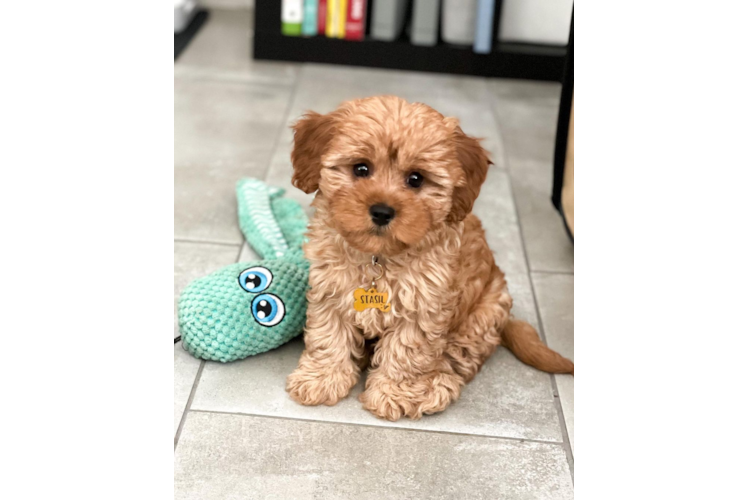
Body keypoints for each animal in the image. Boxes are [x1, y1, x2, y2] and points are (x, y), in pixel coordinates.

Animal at [284, 94, 572, 422]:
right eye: (360, 169)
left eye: (416, 179)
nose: (382, 211)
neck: (378, 258)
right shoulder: (330, 290)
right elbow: (328, 337)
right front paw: (321, 379)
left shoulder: (423, 307)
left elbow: (406, 353)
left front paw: (393, 394)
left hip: (483, 314)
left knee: (457, 358)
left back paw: (435, 386)